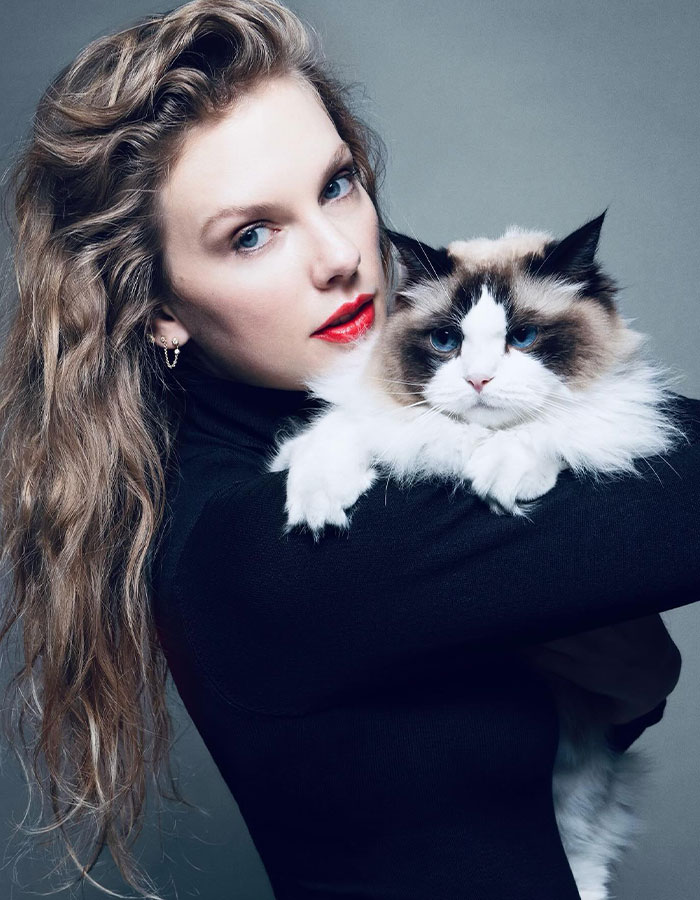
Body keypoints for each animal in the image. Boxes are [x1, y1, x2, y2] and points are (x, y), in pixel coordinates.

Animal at [266, 213, 684, 900]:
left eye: (523, 338)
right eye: (446, 342)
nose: (479, 380)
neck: (463, 442)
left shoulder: (608, 423)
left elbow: (548, 429)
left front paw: (504, 470)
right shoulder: (381, 424)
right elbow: (340, 436)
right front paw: (320, 504)